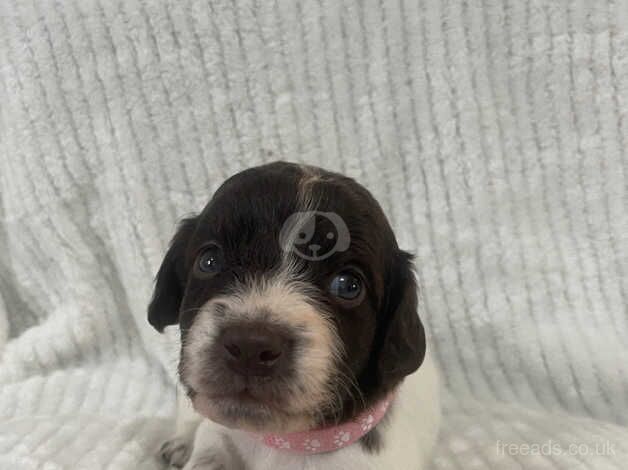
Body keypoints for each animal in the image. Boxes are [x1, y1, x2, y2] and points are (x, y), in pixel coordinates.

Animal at [149, 160, 440, 468]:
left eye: (348, 285)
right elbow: (209, 447)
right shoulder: (217, 432)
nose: (250, 346)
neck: (287, 443)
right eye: (209, 261)